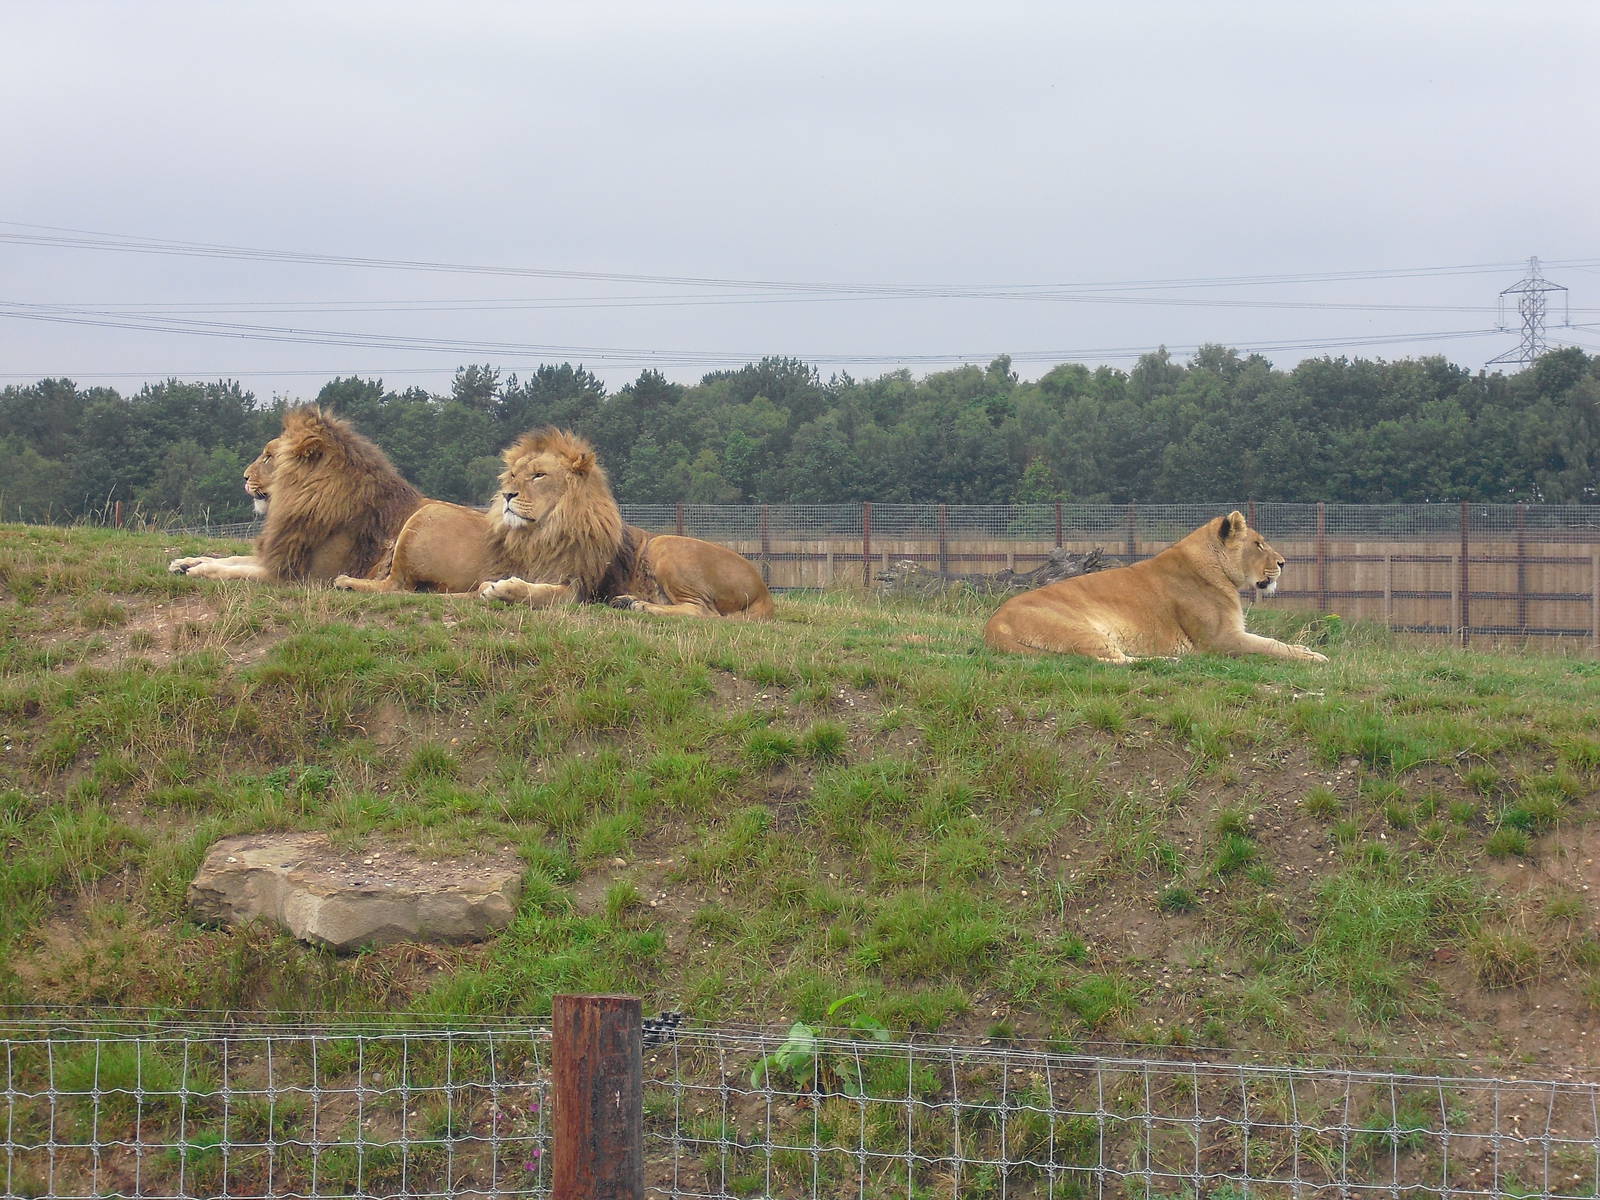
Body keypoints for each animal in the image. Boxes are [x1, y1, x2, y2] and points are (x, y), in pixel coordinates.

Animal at [168, 405, 423, 583]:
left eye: (269, 457)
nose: (244, 477)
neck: (301, 500)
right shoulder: (278, 555)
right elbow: (232, 559)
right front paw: (185, 562)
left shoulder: (300, 576)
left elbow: (236, 570)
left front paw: (199, 569)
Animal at [335, 427, 774, 619]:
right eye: (513, 474)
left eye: (539, 475)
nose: (507, 494)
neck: (548, 528)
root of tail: (765, 589)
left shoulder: (576, 588)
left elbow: (540, 594)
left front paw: (503, 590)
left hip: (667, 545)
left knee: (705, 613)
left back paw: (637, 604)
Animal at [983, 511, 1328, 663]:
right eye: (1258, 544)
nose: (1283, 562)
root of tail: (993, 624)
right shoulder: (1221, 639)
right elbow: (1270, 646)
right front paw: (1314, 658)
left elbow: (1273, 641)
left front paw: (1306, 650)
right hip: (1079, 629)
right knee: (1115, 662)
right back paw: (1170, 660)